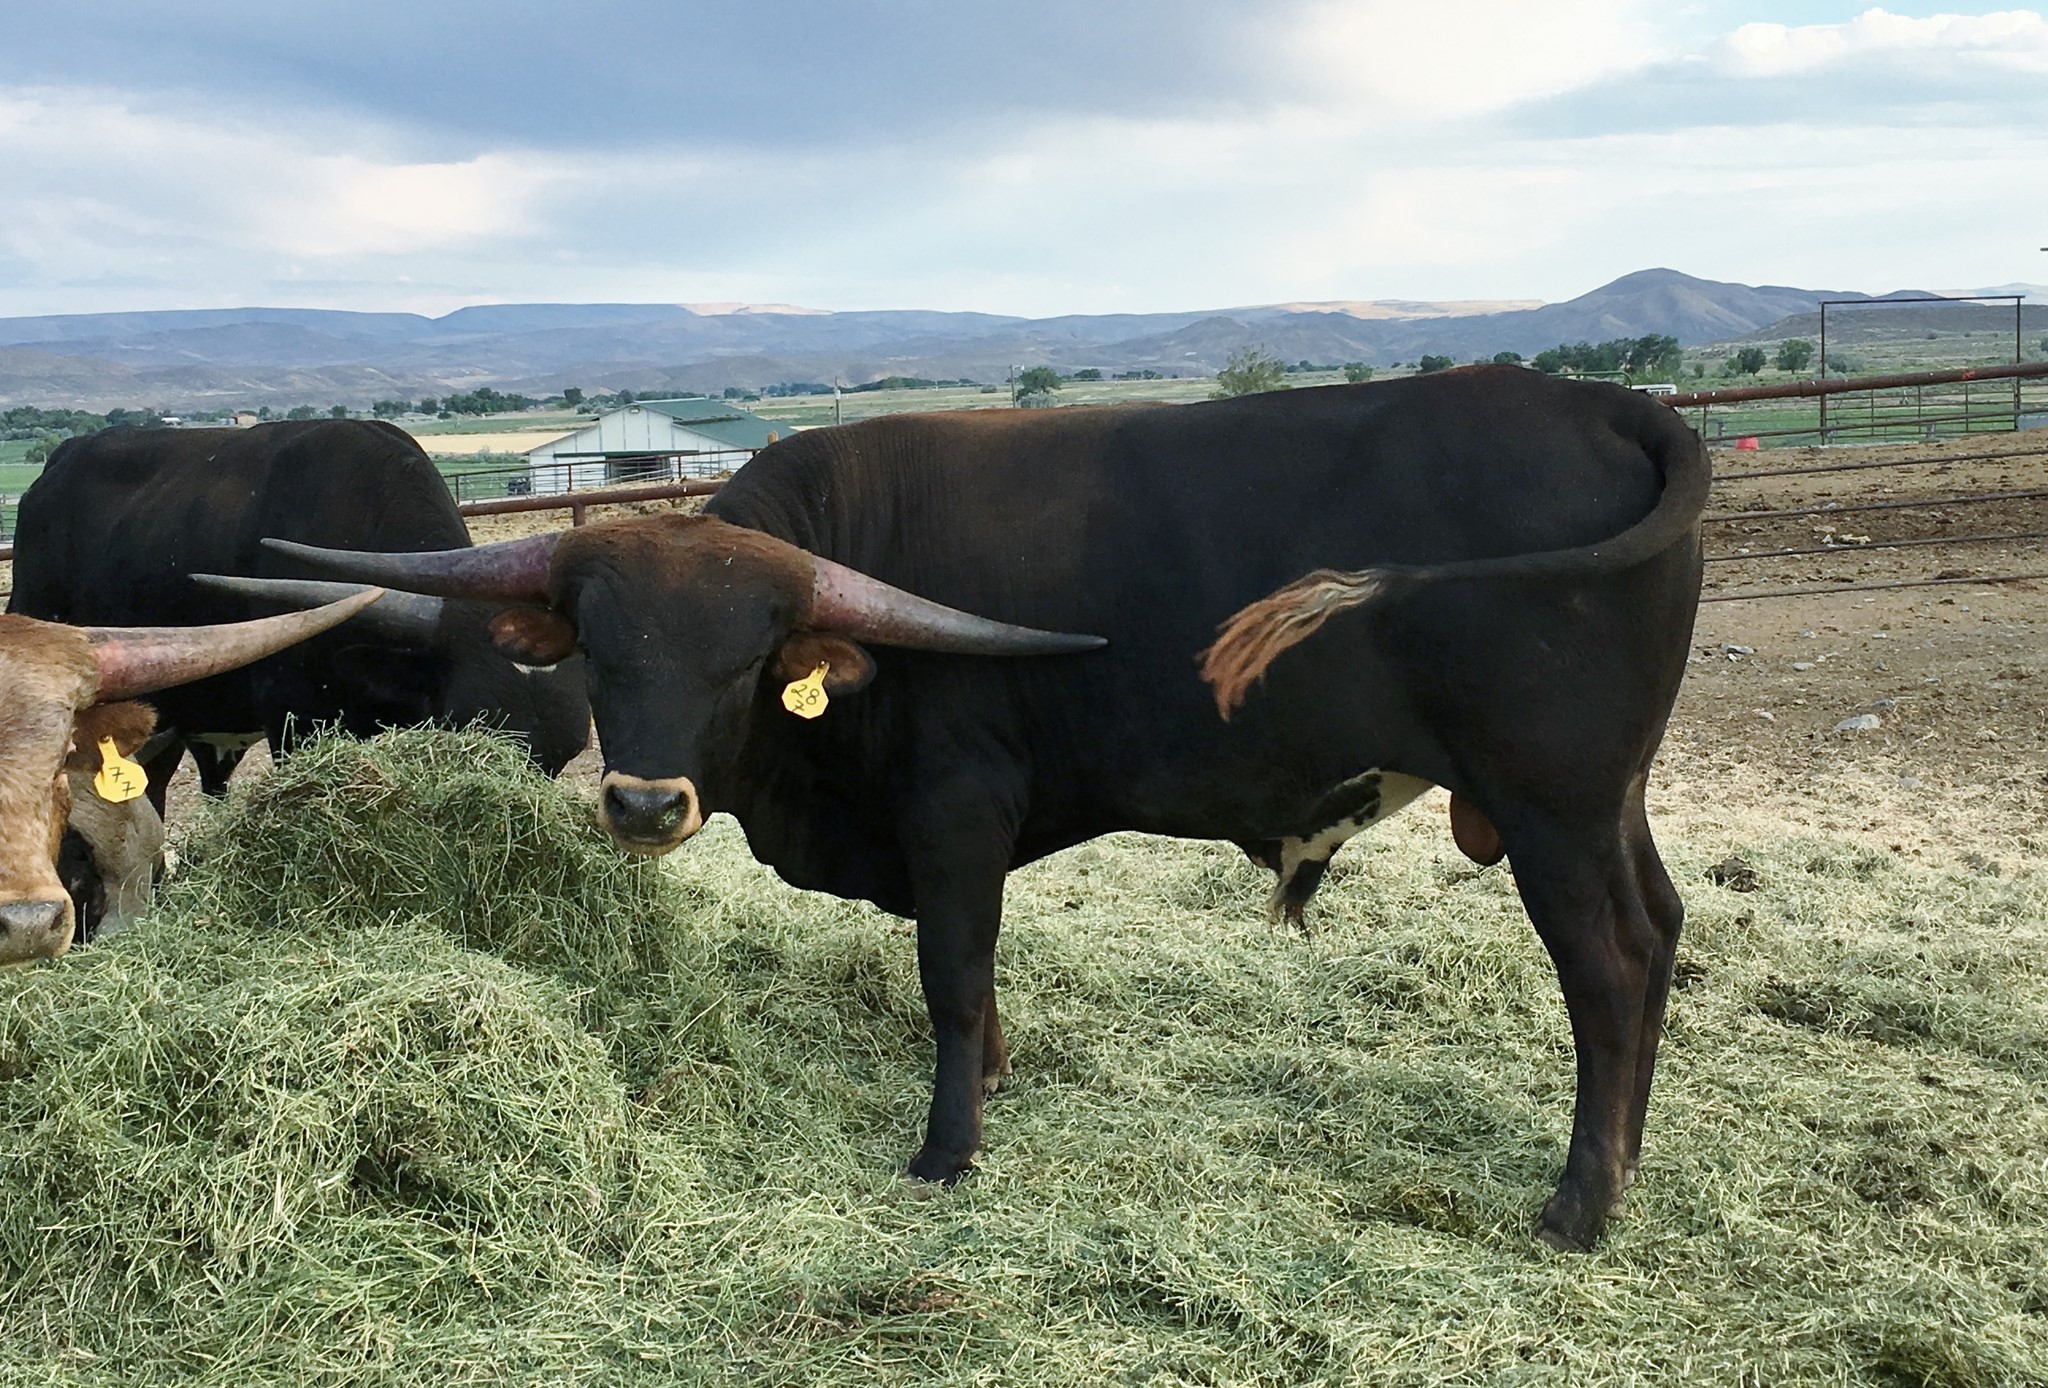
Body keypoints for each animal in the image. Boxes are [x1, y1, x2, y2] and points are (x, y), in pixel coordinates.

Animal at [271, 368, 1709, 1251]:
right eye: (601, 653)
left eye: (744, 659)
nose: (639, 800)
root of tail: (1600, 404)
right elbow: (980, 977)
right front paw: (1000, 1080)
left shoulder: (955, 812)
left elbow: (953, 978)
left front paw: (947, 1146)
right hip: (1611, 798)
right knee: (1661, 932)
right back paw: (1631, 1165)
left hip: (1549, 802)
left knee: (1607, 965)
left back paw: (1579, 1203)